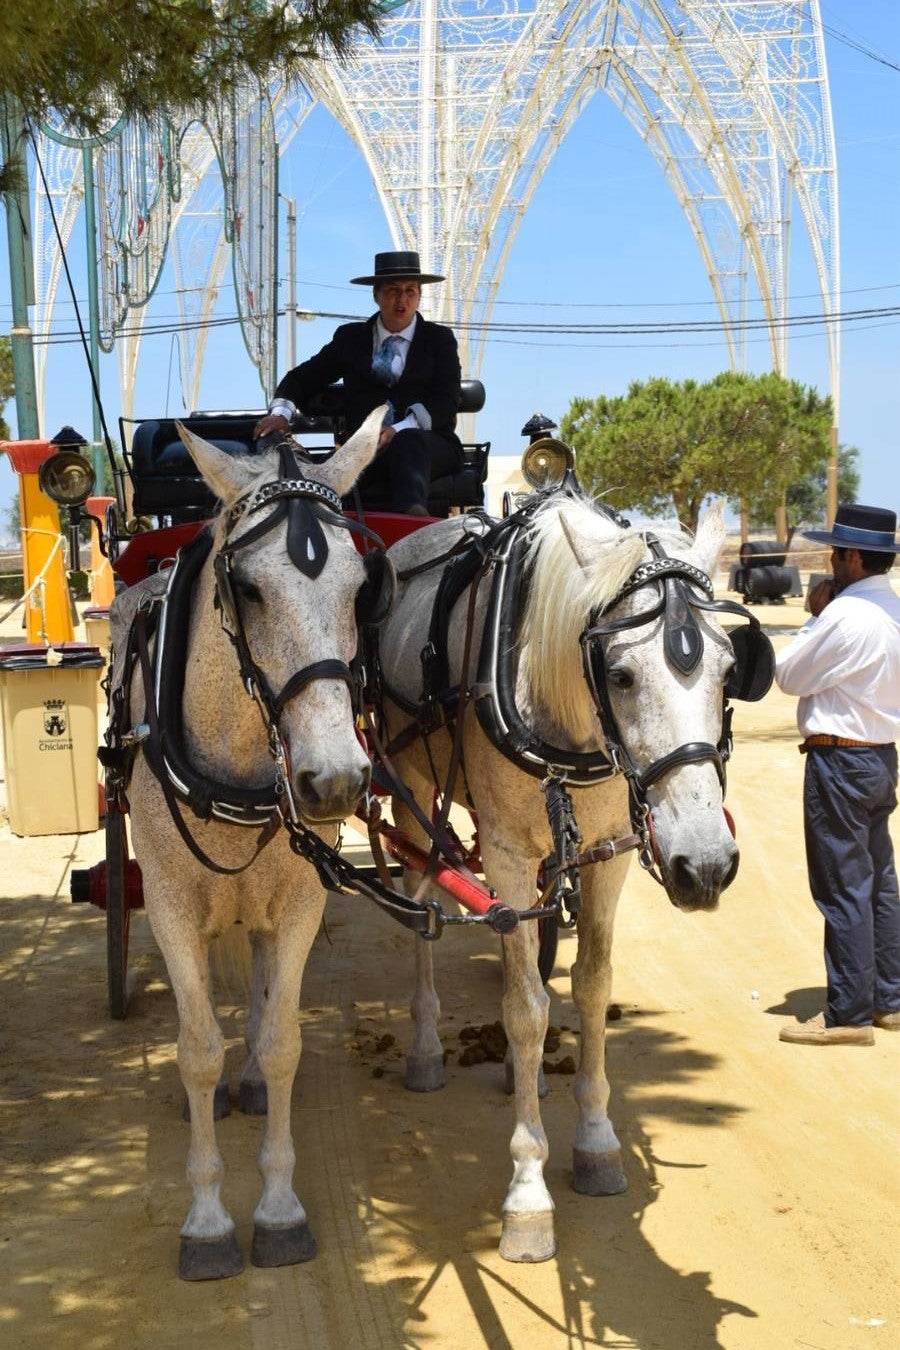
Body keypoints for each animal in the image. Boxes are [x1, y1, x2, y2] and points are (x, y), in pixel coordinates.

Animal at [107, 405, 383, 1279]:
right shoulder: (166, 904)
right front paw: (207, 1221)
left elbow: (283, 1039)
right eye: (251, 588)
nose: (335, 779)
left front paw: (279, 1208)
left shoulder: (298, 900)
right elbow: (199, 1050)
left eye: (361, 588)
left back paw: (254, 1081)